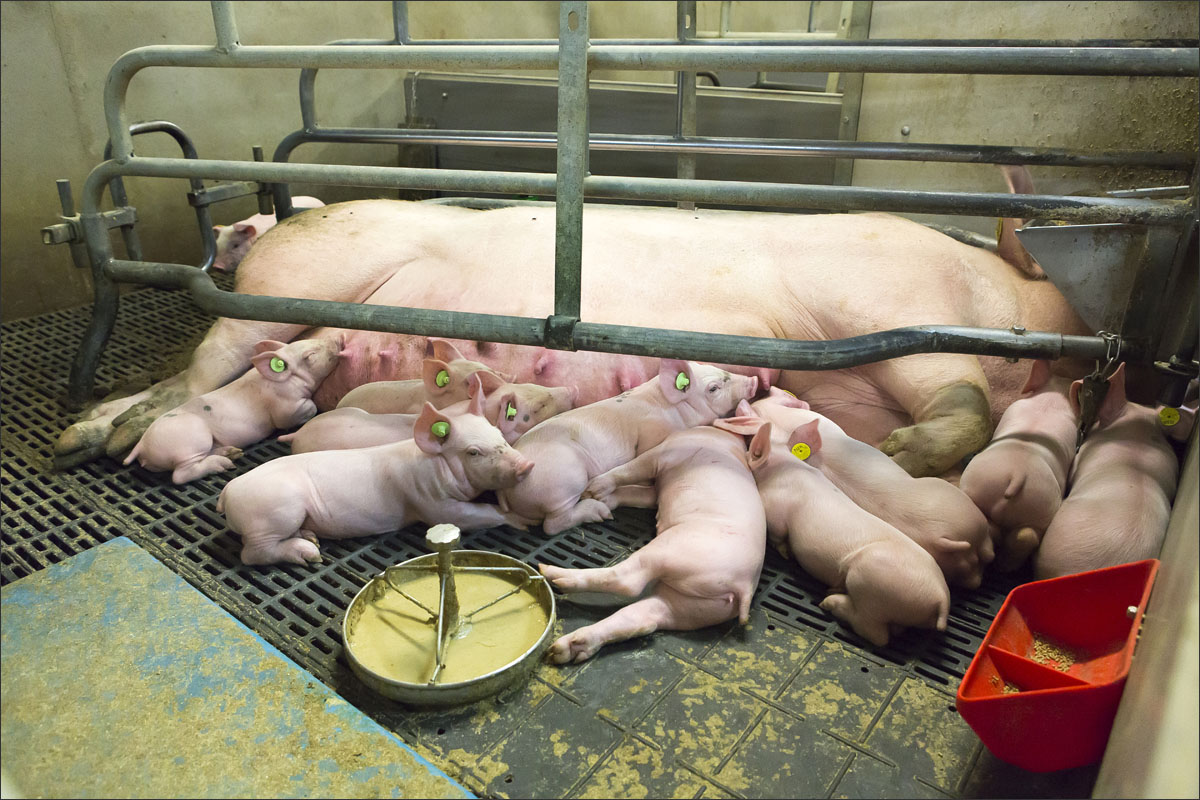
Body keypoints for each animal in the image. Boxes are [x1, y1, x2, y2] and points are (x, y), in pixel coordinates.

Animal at [123, 337, 342, 483]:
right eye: (310, 355)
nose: (337, 339)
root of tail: (141, 445)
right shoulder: (284, 408)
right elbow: (304, 410)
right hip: (190, 442)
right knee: (180, 475)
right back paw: (223, 464)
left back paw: (233, 453)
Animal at [217, 374, 534, 566]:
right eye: (473, 452)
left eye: (498, 435)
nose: (526, 464)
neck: (435, 466)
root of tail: (227, 492)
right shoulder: (429, 502)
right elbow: (469, 516)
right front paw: (523, 522)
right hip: (272, 515)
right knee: (251, 554)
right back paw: (310, 554)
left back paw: (310, 537)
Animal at [497, 359, 758, 535]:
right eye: (713, 388)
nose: (754, 381)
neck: (673, 409)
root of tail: (505, 485)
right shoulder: (653, 435)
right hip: (564, 479)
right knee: (552, 525)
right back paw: (599, 512)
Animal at [541, 425, 767, 663]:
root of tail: (743, 584)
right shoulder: (655, 488)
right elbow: (637, 493)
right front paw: (601, 502)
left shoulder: (664, 454)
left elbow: (630, 470)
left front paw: (592, 489)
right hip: (694, 608)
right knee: (645, 618)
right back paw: (562, 650)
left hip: (671, 549)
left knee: (628, 581)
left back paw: (551, 574)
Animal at [713, 416, 949, 647]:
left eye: (750, 452)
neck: (786, 467)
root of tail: (940, 600)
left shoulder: (775, 512)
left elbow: (778, 536)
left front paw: (786, 553)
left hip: (872, 585)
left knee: (876, 634)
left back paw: (829, 602)